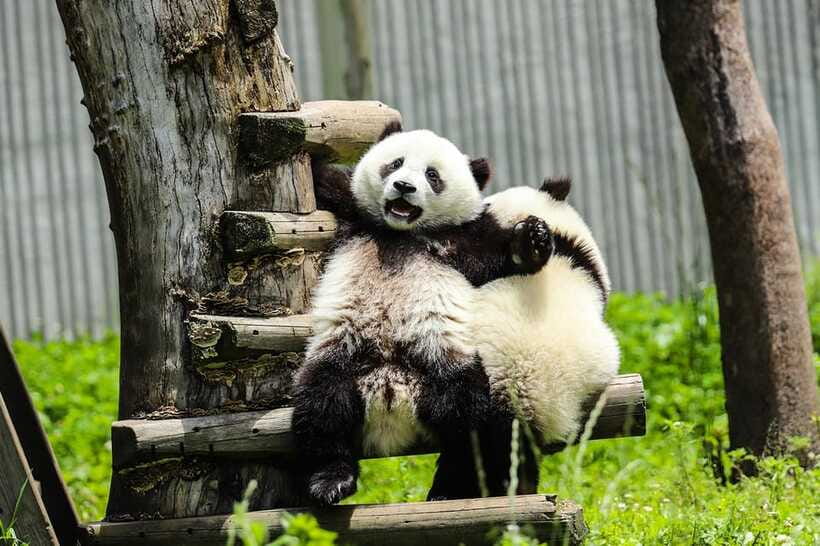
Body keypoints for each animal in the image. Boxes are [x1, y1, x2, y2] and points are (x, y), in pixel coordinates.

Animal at [292, 122, 555, 505]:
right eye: (395, 163)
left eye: (433, 175)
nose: (404, 186)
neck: (401, 233)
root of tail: (392, 395)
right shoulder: (350, 210)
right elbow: (325, 181)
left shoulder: (461, 241)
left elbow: (503, 255)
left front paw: (534, 238)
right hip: (342, 357)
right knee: (323, 407)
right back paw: (331, 480)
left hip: (448, 365)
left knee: (470, 422)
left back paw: (451, 488)